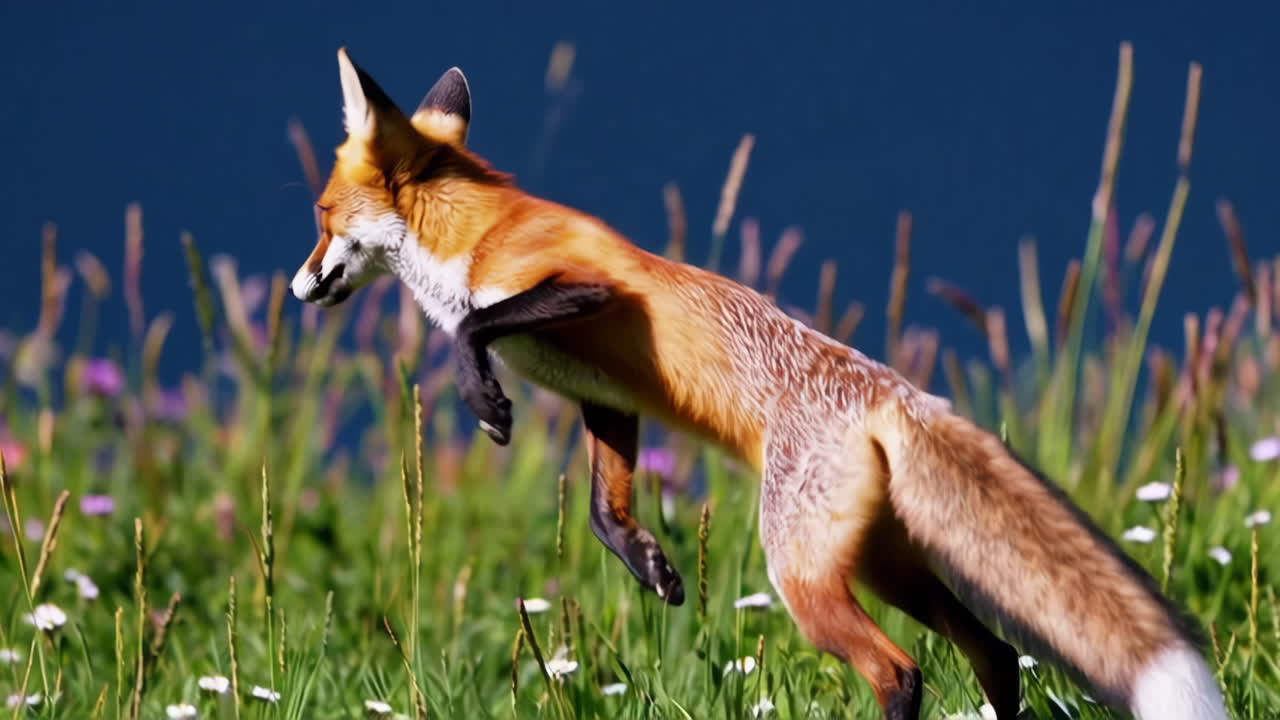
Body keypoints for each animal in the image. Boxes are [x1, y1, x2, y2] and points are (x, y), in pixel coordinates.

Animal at [290, 48, 1229, 720]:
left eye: (324, 217)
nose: (297, 288)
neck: (472, 239)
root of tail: (897, 393)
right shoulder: (608, 397)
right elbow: (601, 509)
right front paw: (651, 565)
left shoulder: (589, 287)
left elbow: (475, 329)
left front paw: (484, 399)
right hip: (888, 566)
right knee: (995, 653)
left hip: (805, 579)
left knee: (902, 672)